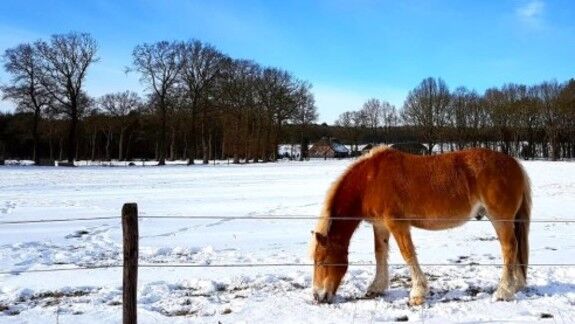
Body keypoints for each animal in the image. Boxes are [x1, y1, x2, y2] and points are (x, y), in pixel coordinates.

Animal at [310, 146, 532, 306]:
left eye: (322, 261)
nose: (318, 296)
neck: (370, 180)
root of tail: (514, 163)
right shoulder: (380, 226)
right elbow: (380, 253)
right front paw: (377, 287)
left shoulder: (397, 224)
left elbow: (407, 254)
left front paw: (417, 293)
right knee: (515, 247)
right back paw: (516, 285)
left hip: (500, 219)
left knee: (509, 248)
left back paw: (504, 291)